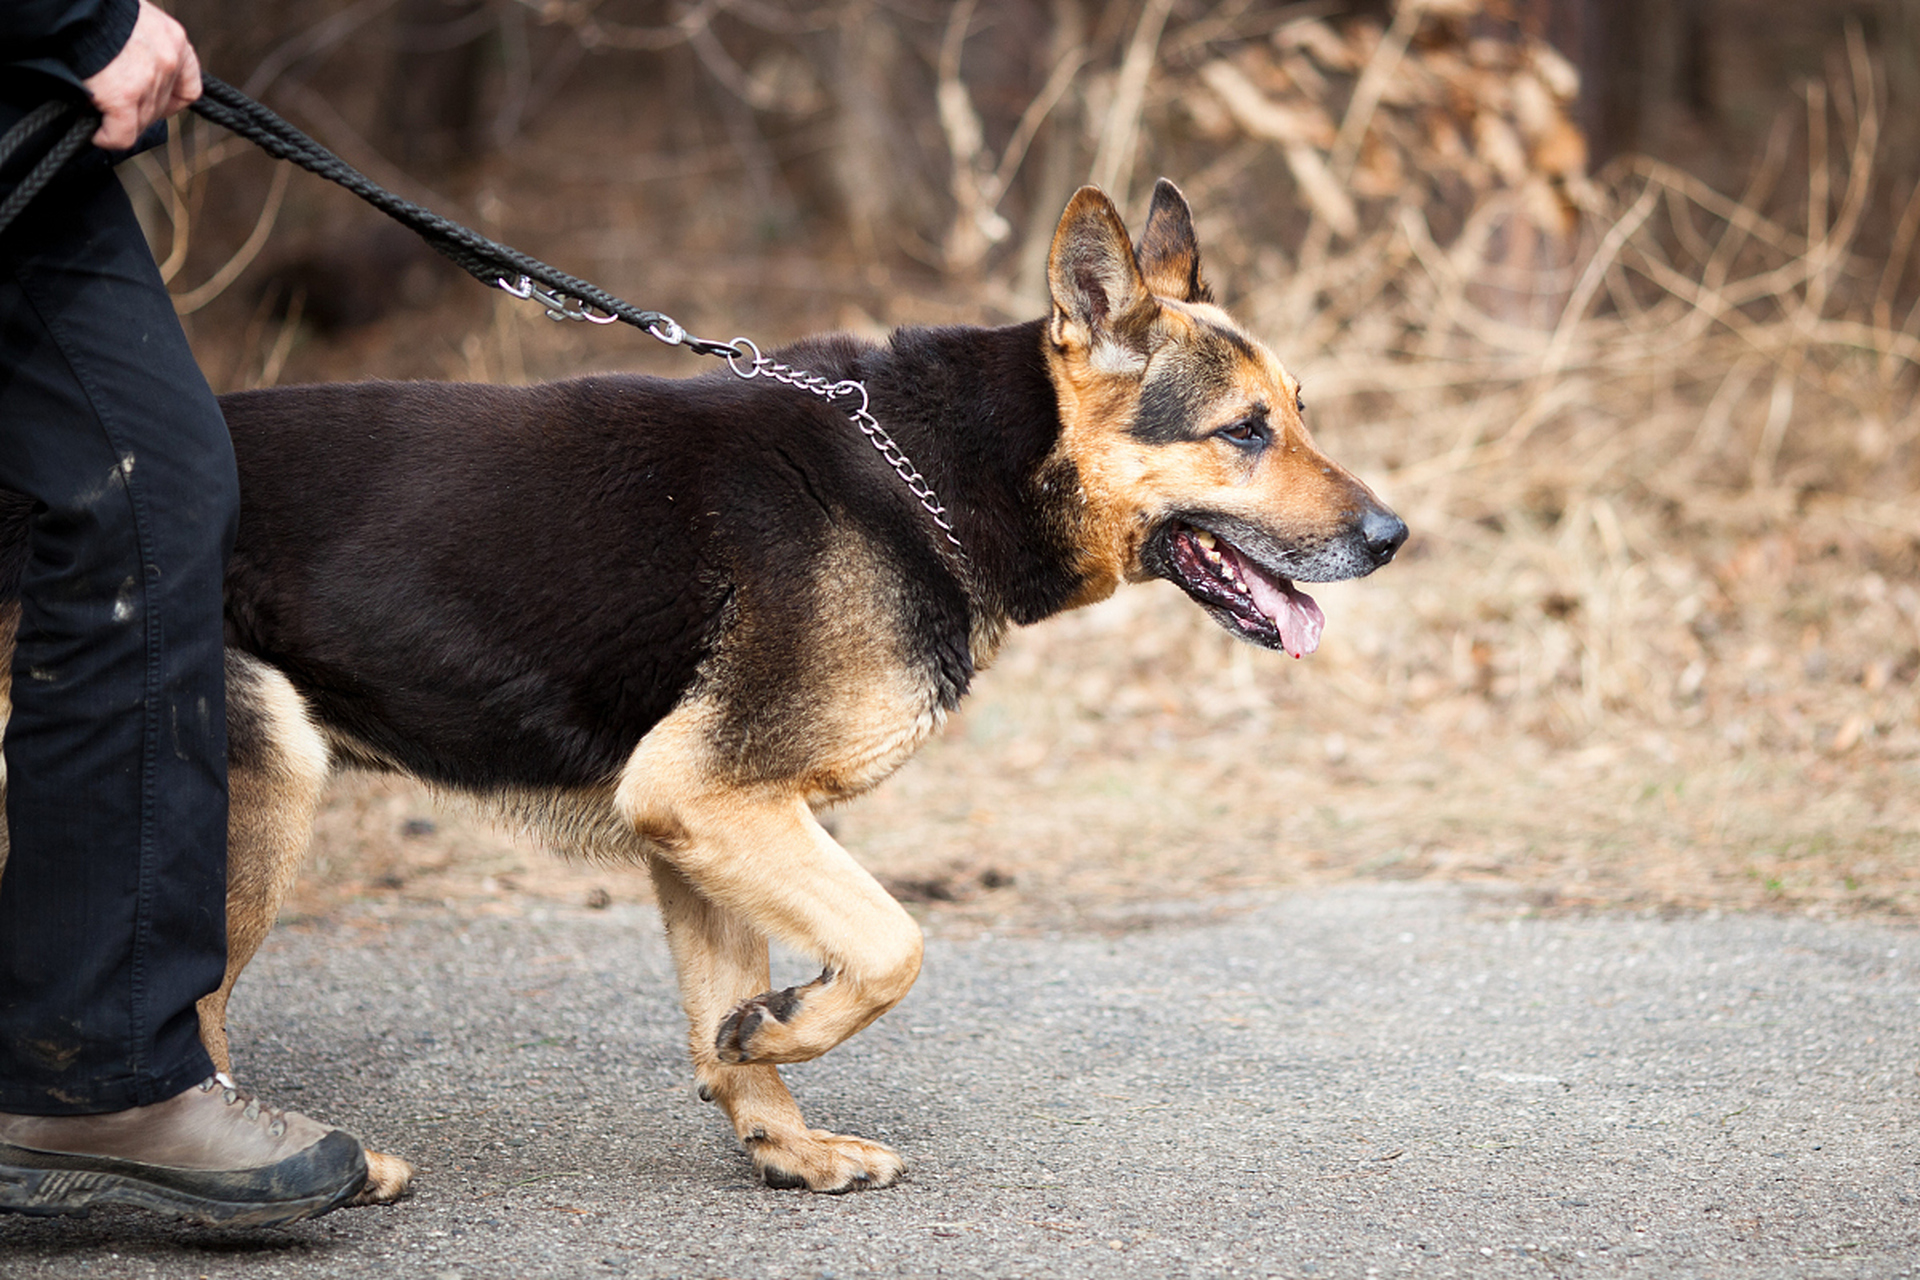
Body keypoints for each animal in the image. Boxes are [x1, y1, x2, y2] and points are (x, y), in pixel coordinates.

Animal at [0, 180, 1413, 1205]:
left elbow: (729, 996)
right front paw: (781, 1029)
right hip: (256, 783)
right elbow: (892, 945)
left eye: (1300, 411)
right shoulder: (718, 795)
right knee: (185, 1013)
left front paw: (781, 1127)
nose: (1396, 535)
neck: (930, 471)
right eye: (1244, 432)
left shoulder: (697, 820)